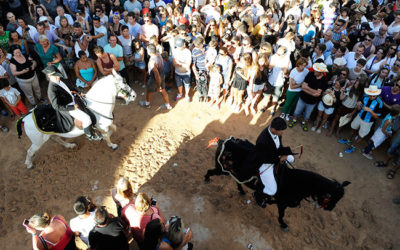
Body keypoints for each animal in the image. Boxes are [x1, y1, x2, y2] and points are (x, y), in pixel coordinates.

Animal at [205, 138, 352, 231]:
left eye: (340, 198)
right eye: (332, 197)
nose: (331, 208)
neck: (295, 181)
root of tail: (223, 141)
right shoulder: (282, 203)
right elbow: (281, 215)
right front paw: (283, 225)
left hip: (234, 173)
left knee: (237, 181)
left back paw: (241, 191)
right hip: (221, 170)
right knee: (211, 172)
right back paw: (206, 179)